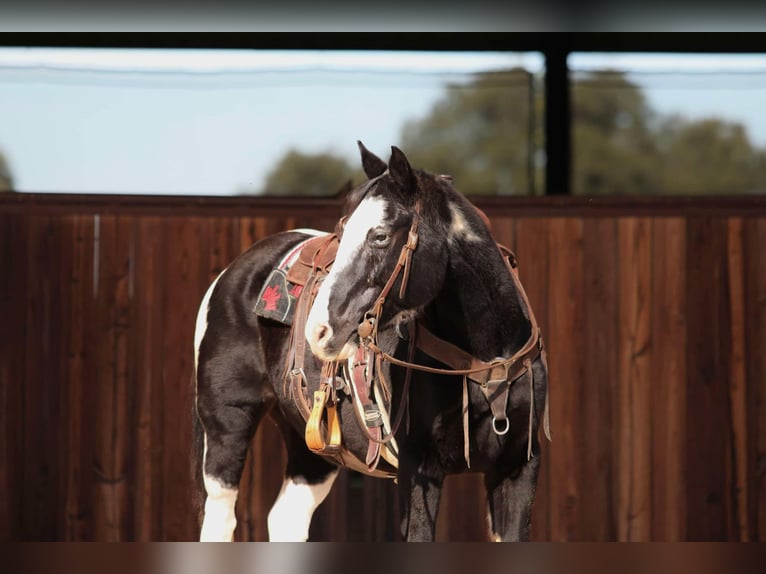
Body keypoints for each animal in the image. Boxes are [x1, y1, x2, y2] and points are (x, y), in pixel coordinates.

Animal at [195, 142, 548, 544]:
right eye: (343, 231)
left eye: (380, 235)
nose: (319, 330)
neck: (487, 362)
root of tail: (233, 272)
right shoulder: (419, 470)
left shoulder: (518, 467)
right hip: (227, 425)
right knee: (220, 516)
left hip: (310, 448)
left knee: (286, 517)